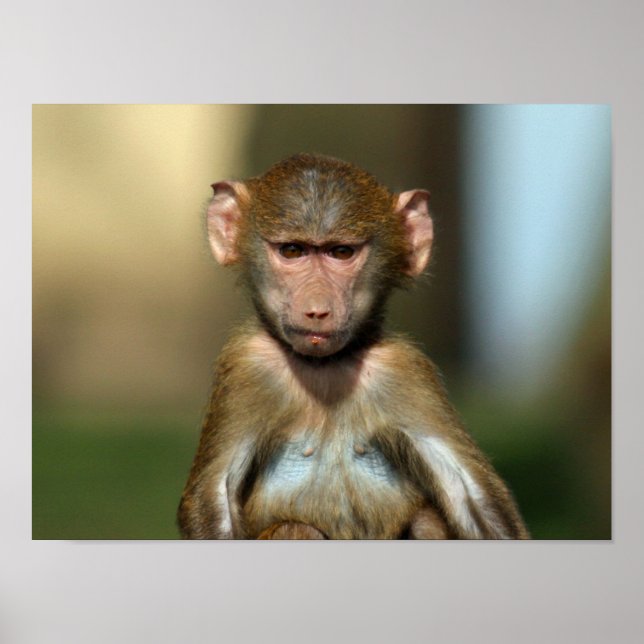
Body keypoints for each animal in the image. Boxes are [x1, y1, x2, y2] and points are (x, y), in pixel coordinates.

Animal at [178, 153, 529, 540]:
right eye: (292, 251)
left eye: (341, 252)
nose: (318, 310)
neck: (324, 366)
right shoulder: (246, 366)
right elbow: (215, 498)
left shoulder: (404, 369)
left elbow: (473, 498)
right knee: (295, 530)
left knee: (427, 519)